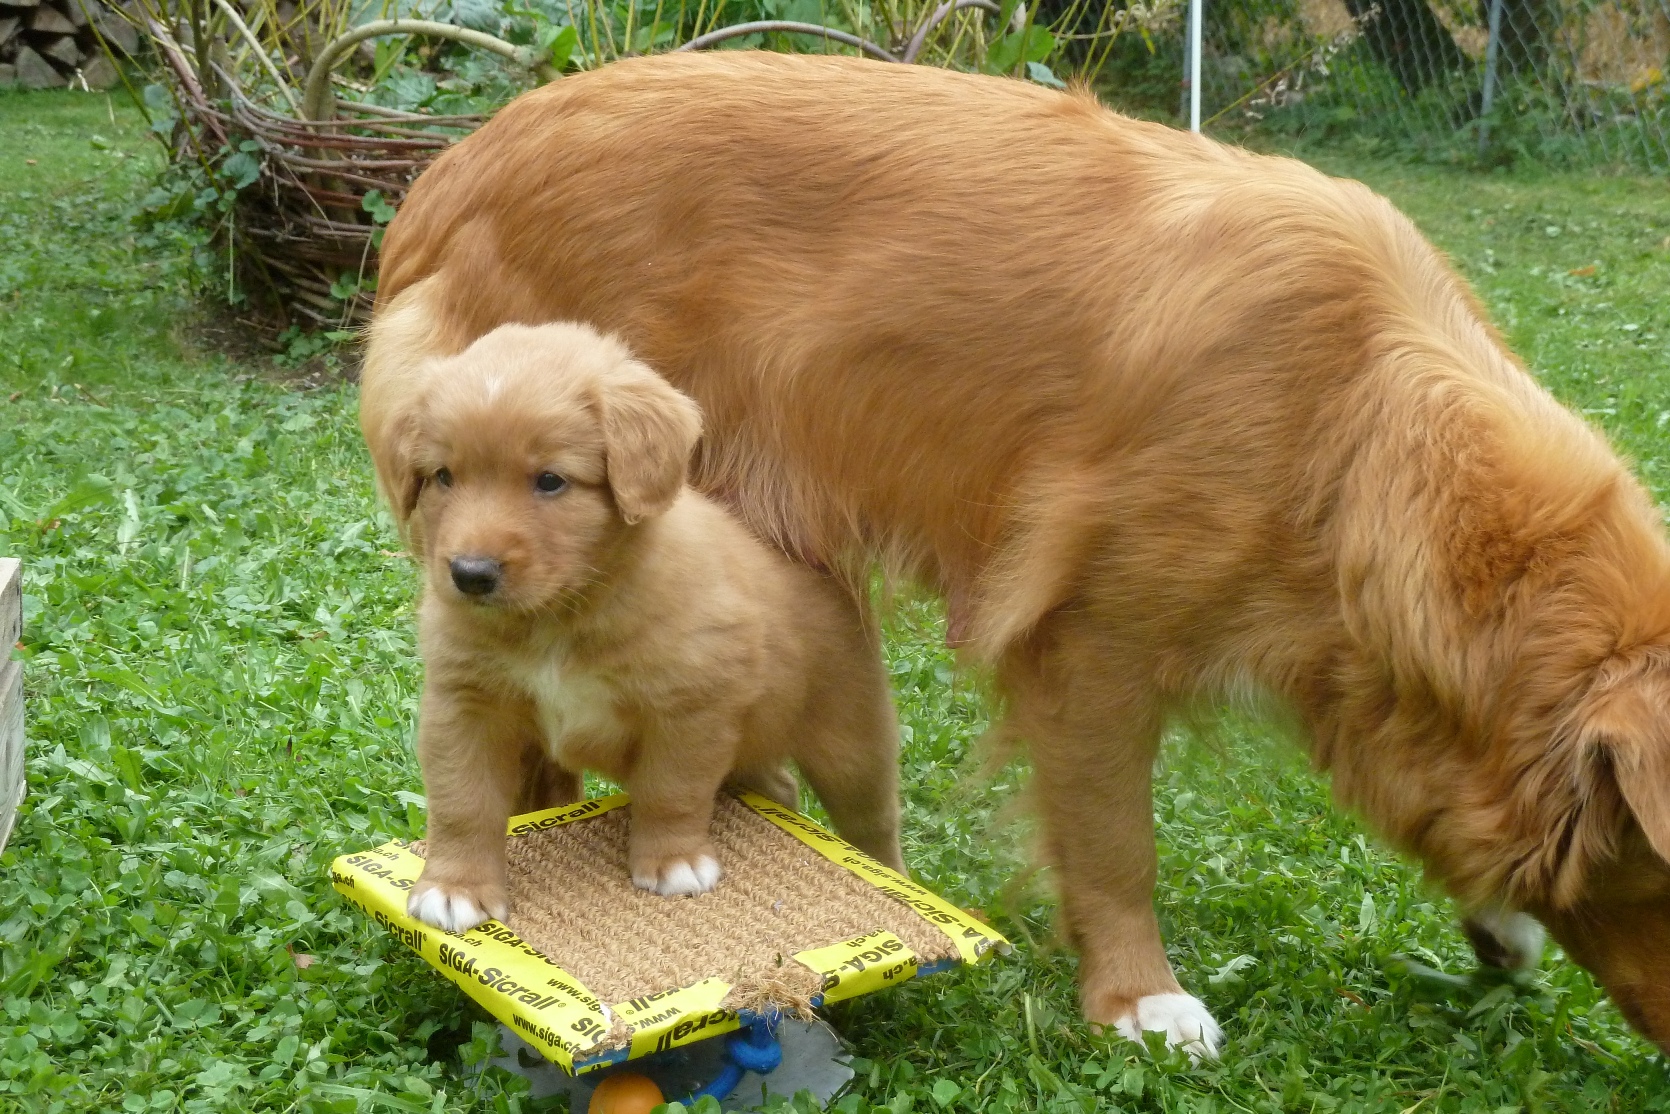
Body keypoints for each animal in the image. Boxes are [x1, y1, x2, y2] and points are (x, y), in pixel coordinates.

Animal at [377, 320, 904, 932]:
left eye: (550, 481)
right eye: (443, 477)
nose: (470, 575)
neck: (560, 618)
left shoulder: (691, 709)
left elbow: (671, 791)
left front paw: (673, 861)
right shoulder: (466, 705)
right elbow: (463, 803)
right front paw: (456, 886)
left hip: (852, 740)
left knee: (873, 826)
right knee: (778, 784)